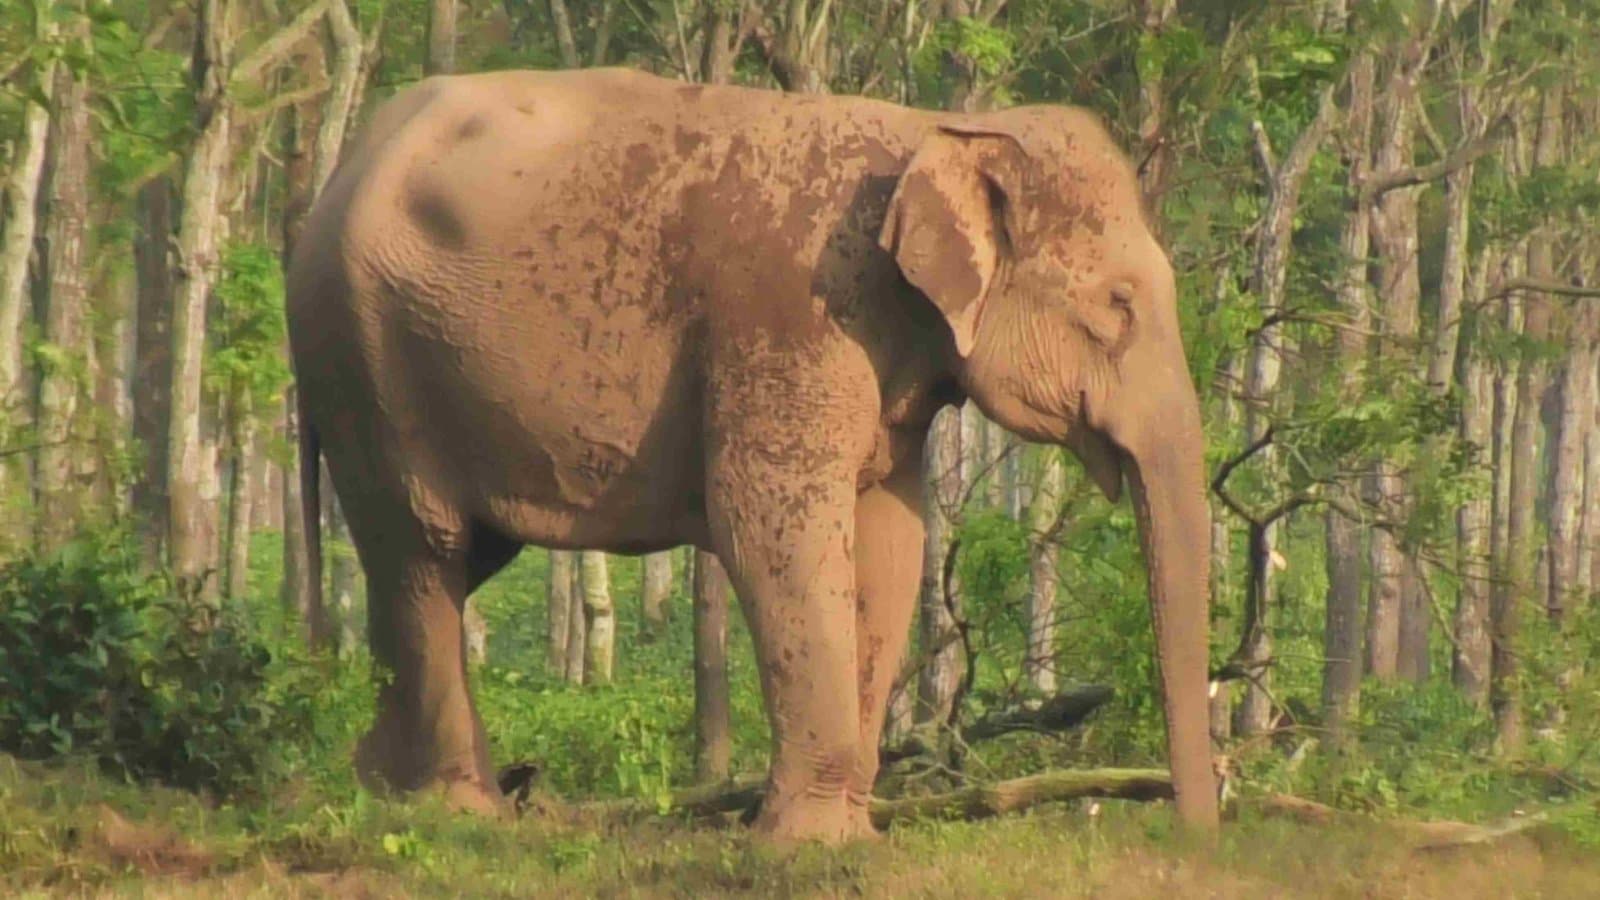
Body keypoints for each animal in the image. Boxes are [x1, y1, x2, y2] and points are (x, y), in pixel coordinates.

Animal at [286, 66, 1218, 842]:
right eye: (1119, 304)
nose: (1190, 831)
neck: (934, 129)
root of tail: (329, 183)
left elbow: (891, 540)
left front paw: (852, 833)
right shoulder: (790, 316)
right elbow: (771, 530)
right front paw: (806, 846)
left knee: (448, 561)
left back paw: (382, 787)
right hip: (365, 362)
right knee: (424, 549)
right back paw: (460, 812)